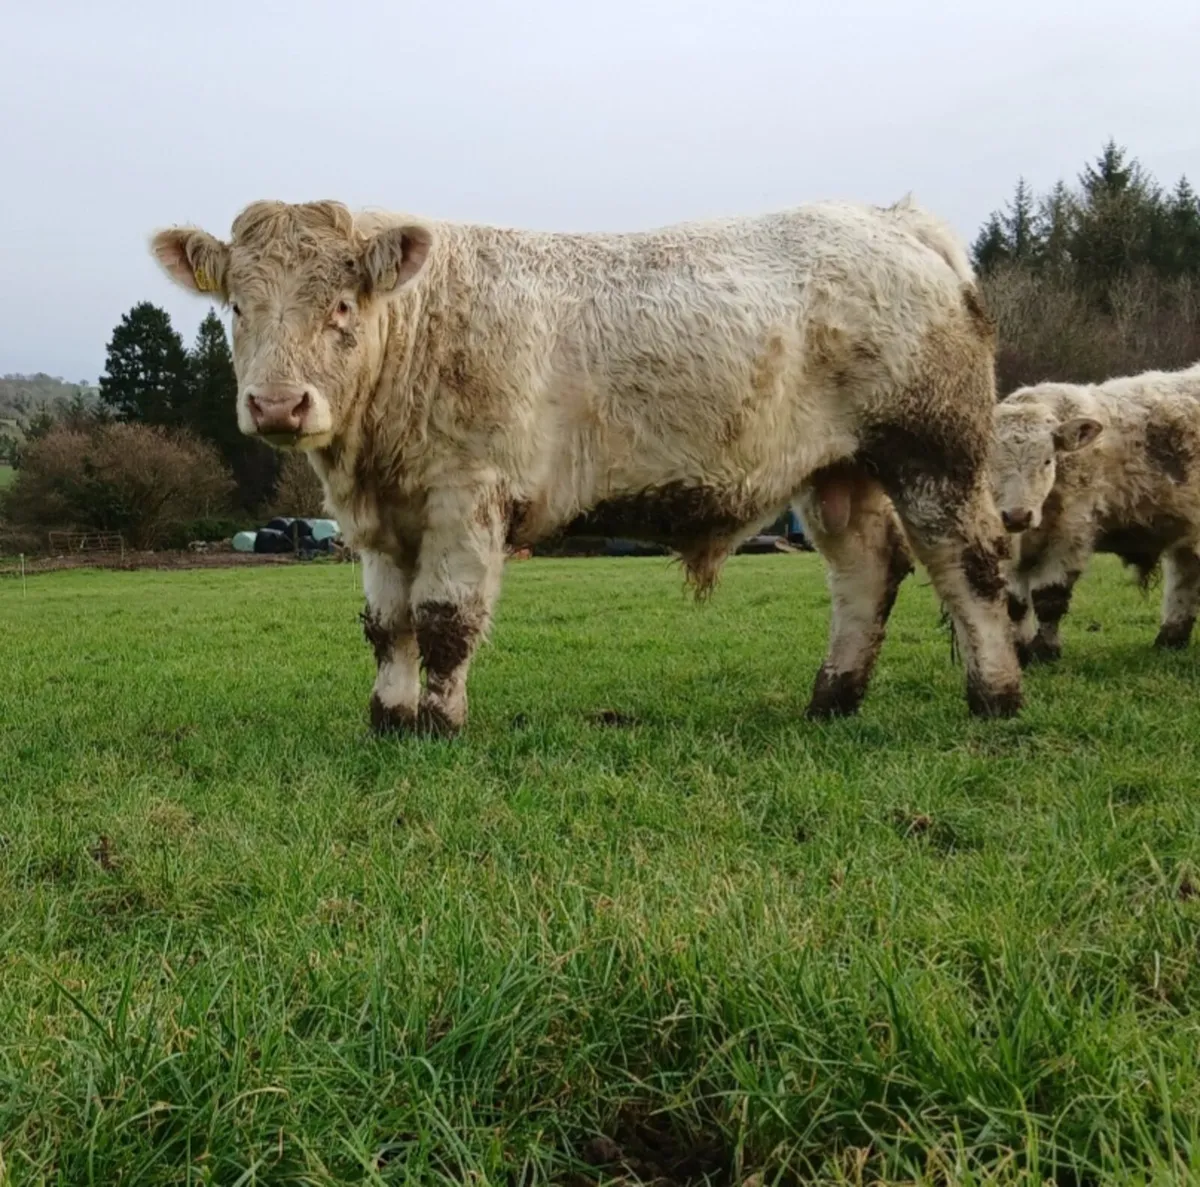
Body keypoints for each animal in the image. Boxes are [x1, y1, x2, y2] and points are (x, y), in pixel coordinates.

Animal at [150, 196, 1021, 736]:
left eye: (340, 304)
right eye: (238, 306)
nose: (276, 405)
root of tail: (897, 219)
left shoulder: (466, 494)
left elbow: (443, 621)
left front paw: (438, 724)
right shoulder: (381, 518)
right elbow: (386, 624)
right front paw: (388, 717)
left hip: (934, 449)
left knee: (969, 561)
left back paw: (996, 692)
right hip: (839, 471)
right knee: (867, 571)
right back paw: (833, 698)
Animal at [991, 362, 1200, 664]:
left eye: (1047, 460)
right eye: (990, 462)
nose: (1017, 516)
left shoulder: (1071, 535)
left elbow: (1049, 597)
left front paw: (1045, 651)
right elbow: (1015, 603)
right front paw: (1020, 652)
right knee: (1186, 576)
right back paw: (1170, 640)